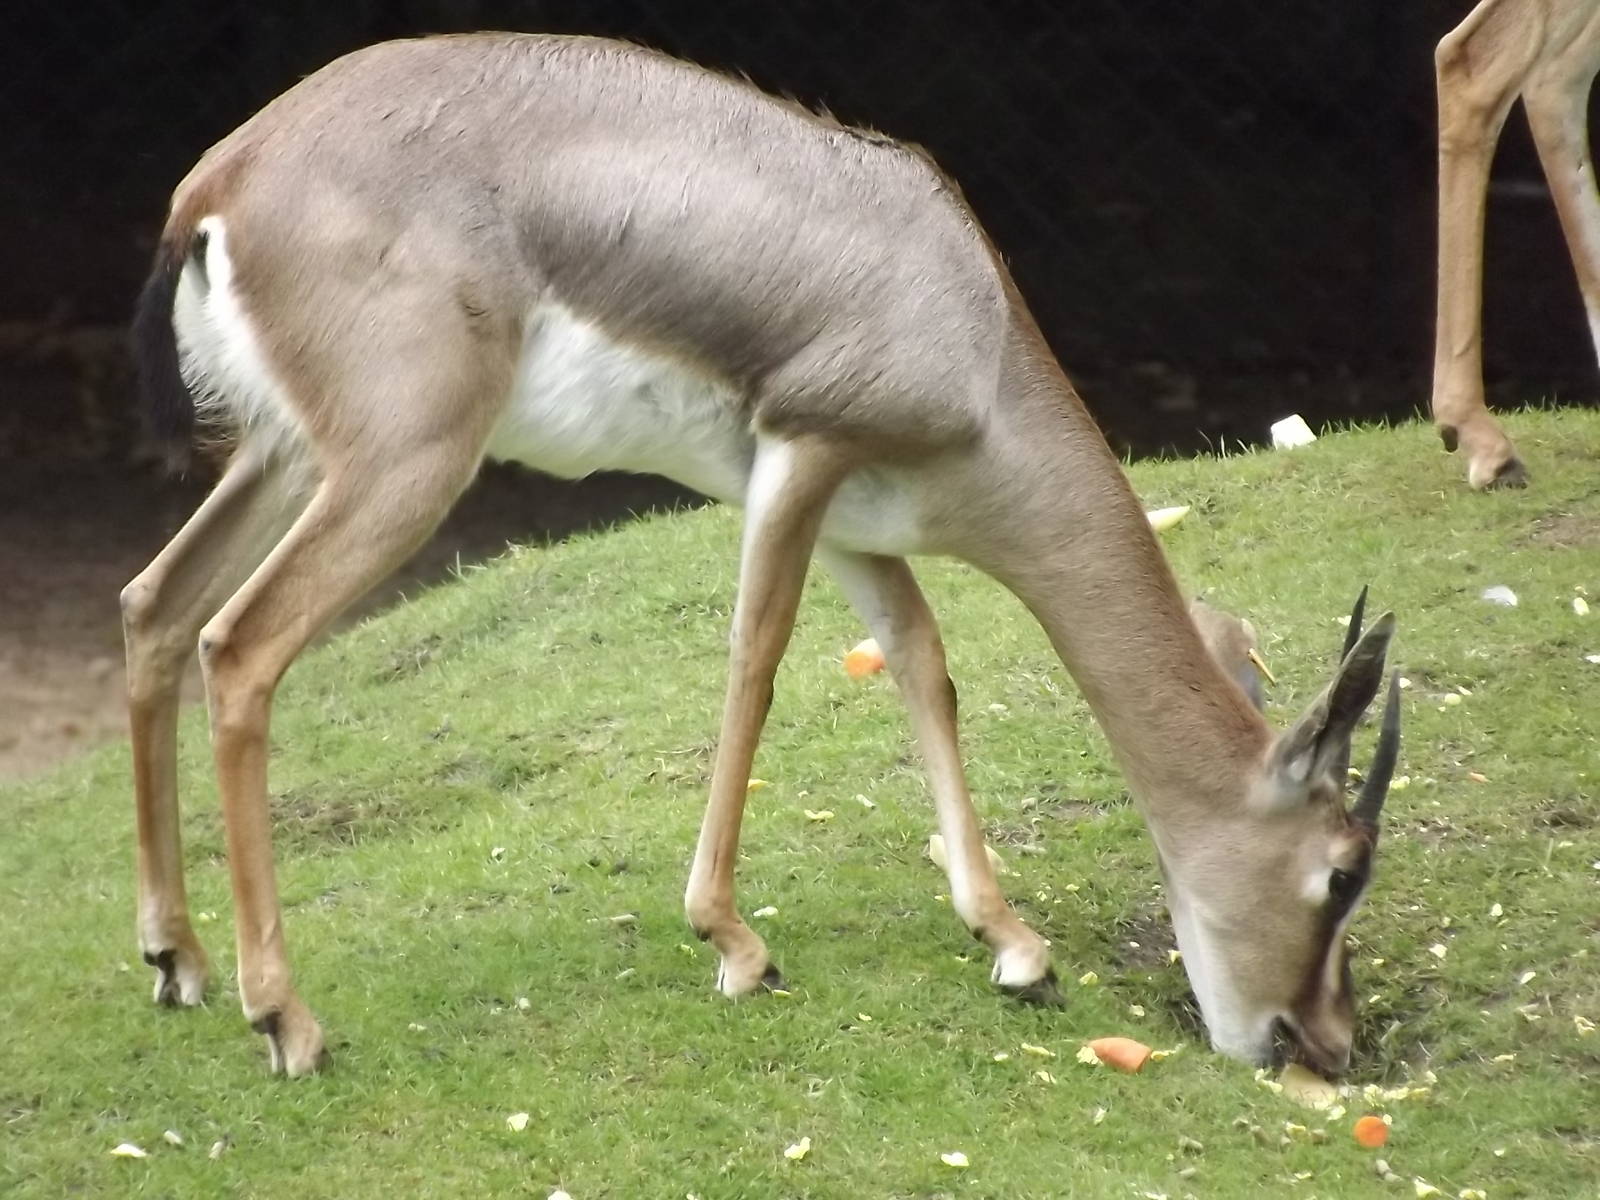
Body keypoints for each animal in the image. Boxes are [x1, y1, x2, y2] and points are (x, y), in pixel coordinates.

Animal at [125, 33, 1401, 1078]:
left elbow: (922, 663)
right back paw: (285, 1020)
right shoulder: (799, 457)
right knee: (237, 646)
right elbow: (756, 658)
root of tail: (219, 181)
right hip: (402, 469)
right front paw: (736, 944)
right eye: (1342, 869)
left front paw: (1012, 943)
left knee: (152, 607)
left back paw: (176, 961)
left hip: (286, 455)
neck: (973, 330)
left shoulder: (855, 521)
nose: (1328, 1042)